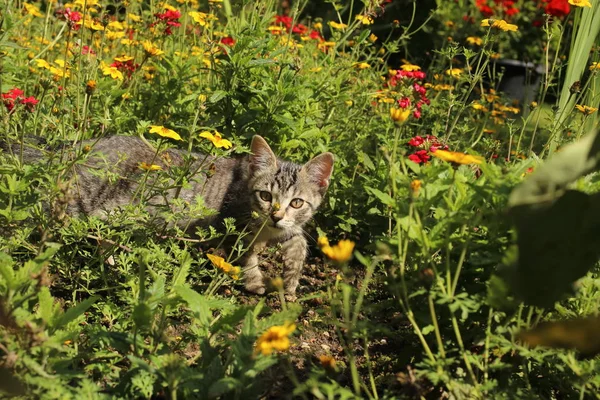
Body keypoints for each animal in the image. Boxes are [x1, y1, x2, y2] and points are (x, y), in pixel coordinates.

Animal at [3, 136, 332, 296]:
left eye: (297, 202)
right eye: (265, 196)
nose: (275, 215)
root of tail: (76, 147)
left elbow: (298, 240)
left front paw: (292, 275)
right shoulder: (232, 227)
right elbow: (245, 257)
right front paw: (254, 282)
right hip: (90, 204)